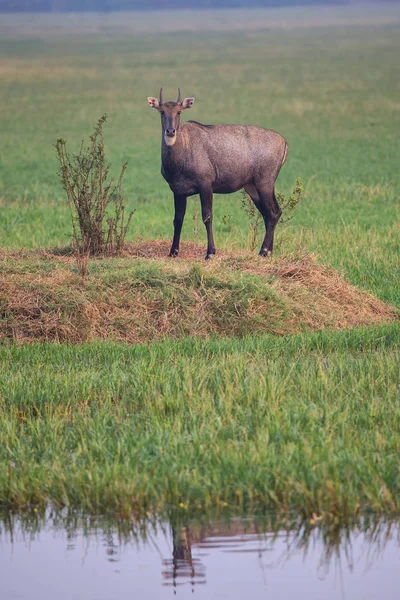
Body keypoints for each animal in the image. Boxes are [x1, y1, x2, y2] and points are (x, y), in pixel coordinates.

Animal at [148, 88, 288, 258]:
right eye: (162, 111)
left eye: (179, 111)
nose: (170, 131)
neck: (183, 150)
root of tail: (284, 142)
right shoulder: (178, 190)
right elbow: (178, 219)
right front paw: (173, 252)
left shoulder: (206, 185)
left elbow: (207, 217)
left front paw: (210, 253)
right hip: (252, 187)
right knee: (270, 213)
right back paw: (268, 252)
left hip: (265, 183)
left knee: (273, 213)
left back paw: (264, 251)